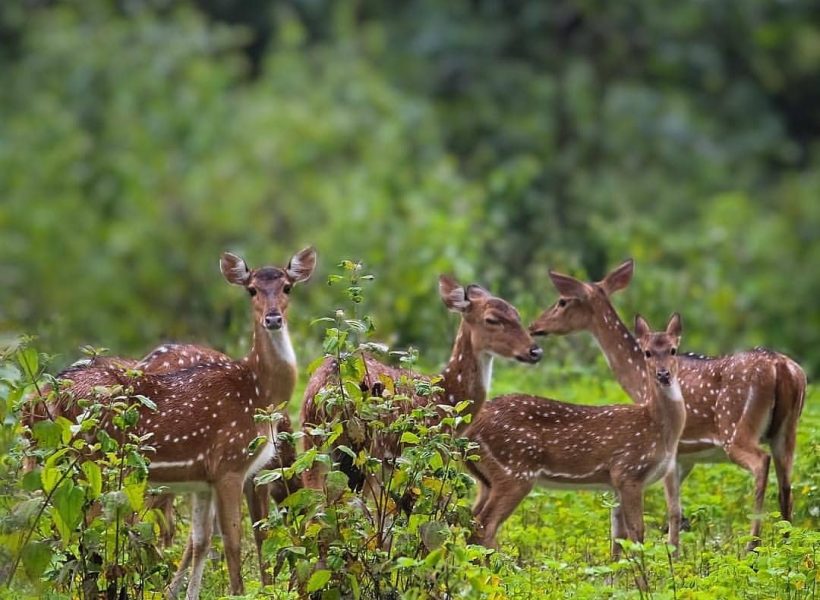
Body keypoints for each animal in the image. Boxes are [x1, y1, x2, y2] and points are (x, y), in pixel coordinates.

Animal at [298, 274, 540, 494]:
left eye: (517, 314)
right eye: (492, 319)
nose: (535, 351)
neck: (449, 396)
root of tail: (329, 389)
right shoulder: (432, 450)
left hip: (312, 440)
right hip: (372, 448)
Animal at [468, 314, 684, 556]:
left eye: (673, 350)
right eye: (647, 352)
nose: (663, 374)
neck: (659, 429)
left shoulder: (615, 483)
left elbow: (618, 538)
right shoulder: (629, 470)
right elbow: (637, 534)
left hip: (486, 478)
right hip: (514, 470)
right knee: (485, 525)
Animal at [532, 258, 808, 548]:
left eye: (562, 300)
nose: (534, 326)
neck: (638, 380)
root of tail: (782, 367)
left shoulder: (670, 448)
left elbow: (671, 509)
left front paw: (670, 552)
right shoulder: (686, 456)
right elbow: (676, 511)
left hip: (735, 428)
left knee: (761, 464)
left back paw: (752, 545)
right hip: (787, 431)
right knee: (786, 486)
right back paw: (787, 542)